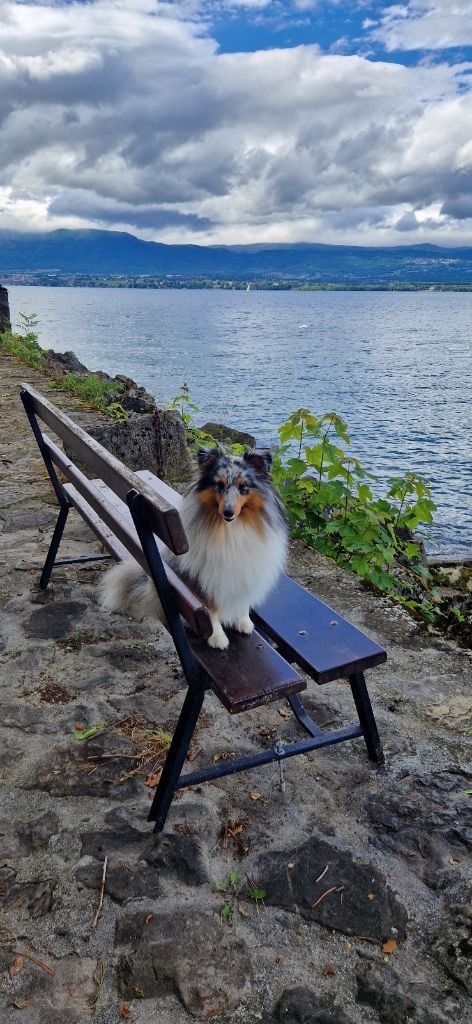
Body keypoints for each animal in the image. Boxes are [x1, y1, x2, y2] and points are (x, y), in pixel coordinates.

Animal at [99, 446, 286, 647]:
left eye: (243, 487)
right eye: (219, 485)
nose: (228, 512)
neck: (230, 528)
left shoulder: (247, 573)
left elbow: (243, 600)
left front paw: (244, 622)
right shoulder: (204, 580)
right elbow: (211, 609)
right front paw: (217, 637)